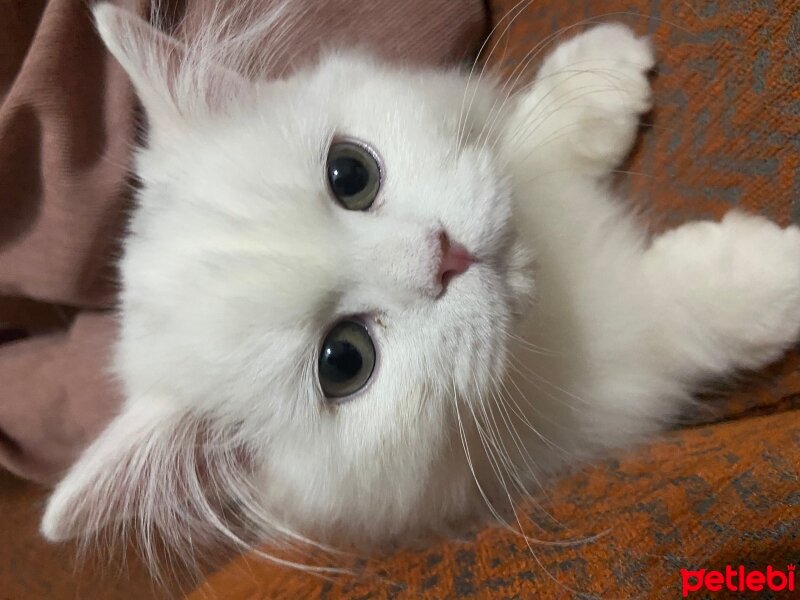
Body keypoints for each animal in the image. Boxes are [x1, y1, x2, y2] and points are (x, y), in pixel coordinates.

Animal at [40, 2, 800, 580]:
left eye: (350, 173)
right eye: (344, 361)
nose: (446, 255)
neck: (552, 290)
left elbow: (525, 136)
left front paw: (599, 79)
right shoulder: (619, 372)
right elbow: (682, 308)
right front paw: (774, 273)